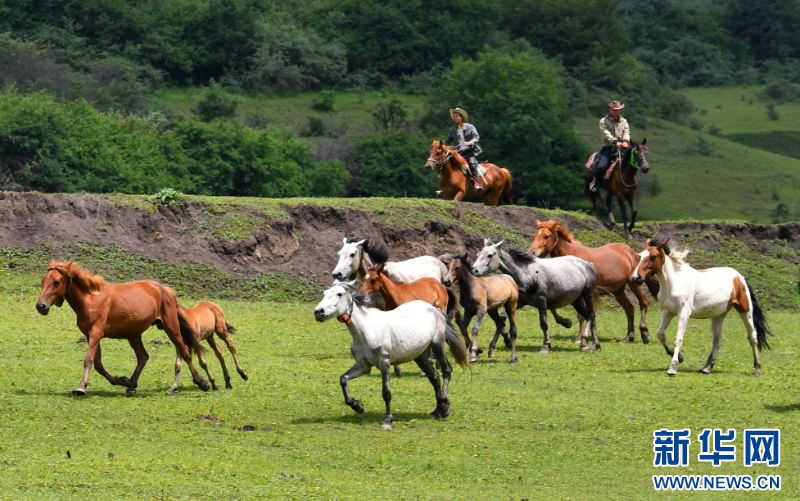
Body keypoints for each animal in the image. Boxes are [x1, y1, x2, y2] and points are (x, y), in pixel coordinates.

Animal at [36, 260, 211, 396]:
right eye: (43, 281)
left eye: (56, 282)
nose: (40, 306)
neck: (91, 299)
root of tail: (165, 290)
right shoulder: (92, 335)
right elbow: (98, 365)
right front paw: (123, 380)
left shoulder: (96, 333)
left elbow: (89, 360)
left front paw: (81, 388)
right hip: (133, 335)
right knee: (143, 357)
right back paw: (131, 386)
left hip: (171, 327)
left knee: (185, 351)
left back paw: (202, 382)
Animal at [312, 282, 468, 430]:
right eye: (324, 294)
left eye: (339, 294)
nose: (318, 312)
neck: (367, 330)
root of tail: (435, 309)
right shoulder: (363, 366)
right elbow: (343, 379)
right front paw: (358, 406)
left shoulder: (384, 363)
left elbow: (386, 393)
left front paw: (388, 421)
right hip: (421, 356)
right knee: (434, 377)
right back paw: (437, 411)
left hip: (437, 345)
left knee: (446, 371)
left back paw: (445, 408)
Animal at [528, 220, 660, 344]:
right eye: (534, 235)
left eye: (546, 236)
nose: (531, 253)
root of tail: (635, 254)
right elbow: (553, 307)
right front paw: (566, 322)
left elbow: (581, 314)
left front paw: (580, 337)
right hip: (618, 290)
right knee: (629, 308)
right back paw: (629, 337)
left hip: (634, 284)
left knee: (643, 303)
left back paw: (645, 335)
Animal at [636, 238, 772, 376]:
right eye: (640, 255)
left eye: (653, 256)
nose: (636, 277)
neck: (676, 282)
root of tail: (740, 277)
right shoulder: (668, 311)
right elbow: (660, 334)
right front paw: (679, 357)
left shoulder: (684, 313)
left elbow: (678, 339)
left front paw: (673, 367)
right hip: (718, 315)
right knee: (717, 339)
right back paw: (707, 367)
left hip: (745, 310)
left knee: (752, 336)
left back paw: (757, 368)